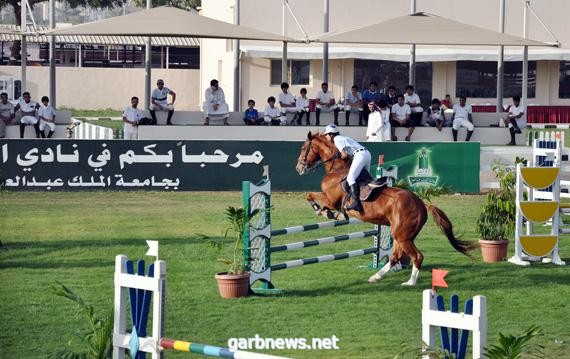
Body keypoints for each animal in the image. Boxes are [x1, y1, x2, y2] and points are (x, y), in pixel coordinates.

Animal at [292, 132, 474, 286]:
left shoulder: (330, 199)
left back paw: (410, 282)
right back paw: (376, 276)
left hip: (402, 236)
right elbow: (312, 196)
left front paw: (323, 211)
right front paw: (331, 214)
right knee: (395, 257)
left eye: (303, 148)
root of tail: (423, 205)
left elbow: (310, 196)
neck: (336, 169)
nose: (298, 168)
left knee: (417, 256)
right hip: (400, 235)